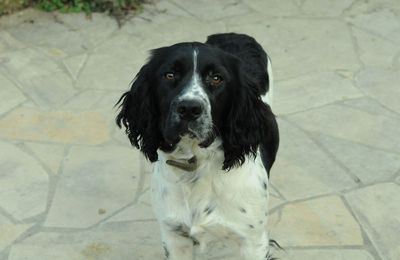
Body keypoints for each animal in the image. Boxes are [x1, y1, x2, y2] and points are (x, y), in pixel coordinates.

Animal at [115, 33, 278, 258]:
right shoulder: (174, 236)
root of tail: (234, 34)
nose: (189, 109)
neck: (197, 163)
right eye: (169, 75)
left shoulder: (253, 241)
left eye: (217, 78)